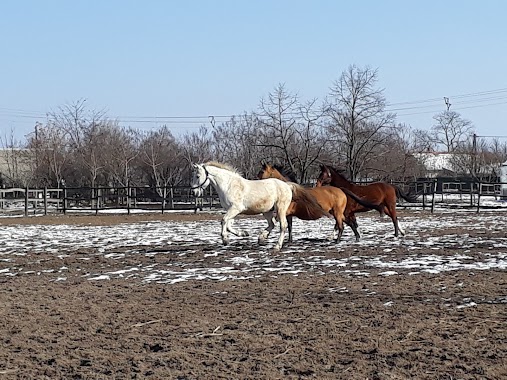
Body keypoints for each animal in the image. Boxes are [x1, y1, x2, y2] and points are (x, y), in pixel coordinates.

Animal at [190, 162, 326, 251]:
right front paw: (243, 234)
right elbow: (228, 225)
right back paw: (261, 238)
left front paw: (225, 239)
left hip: (280, 209)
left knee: (283, 226)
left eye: (197, 176)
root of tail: (286, 185)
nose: (194, 192)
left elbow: (223, 221)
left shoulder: (236, 209)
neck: (229, 185)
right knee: (272, 224)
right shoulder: (231, 210)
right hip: (267, 211)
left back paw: (277, 246)